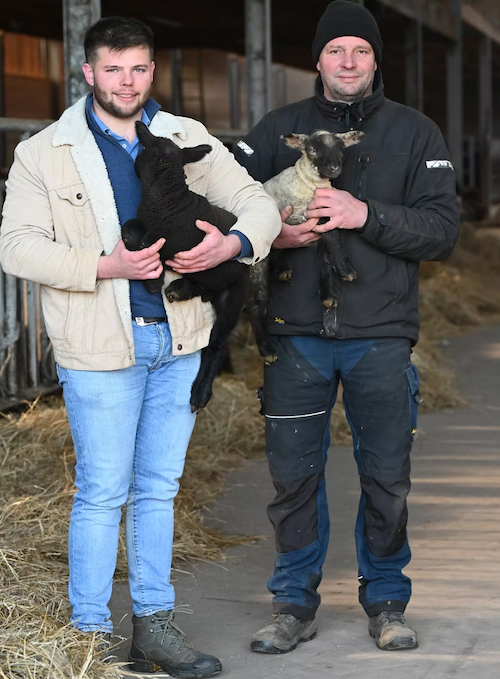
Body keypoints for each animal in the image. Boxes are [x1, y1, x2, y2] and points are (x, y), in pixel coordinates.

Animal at [122, 121, 248, 413]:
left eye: (143, 150)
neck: (170, 201)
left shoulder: (174, 241)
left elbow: (151, 242)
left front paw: (153, 280)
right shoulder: (147, 224)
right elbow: (132, 229)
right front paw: (134, 244)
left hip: (232, 297)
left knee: (216, 346)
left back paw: (200, 394)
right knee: (199, 285)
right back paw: (179, 289)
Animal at [249, 129, 364, 364]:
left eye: (341, 148)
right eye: (312, 150)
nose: (334, 169)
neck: (308, 183)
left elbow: (325, 259)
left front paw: (328, 296)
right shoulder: (300, 214)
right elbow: (332, 233)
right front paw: (347, 270)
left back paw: (283, 270)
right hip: (257, 264)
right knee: (257, 303)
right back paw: (267, 350)